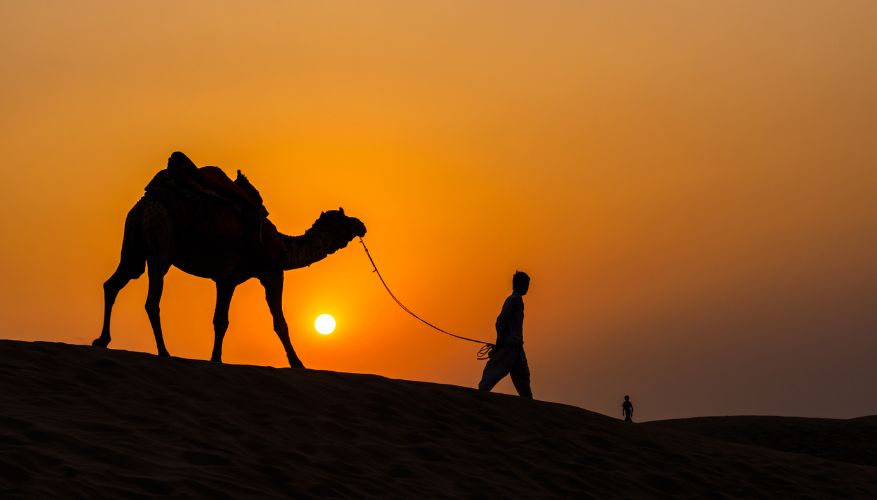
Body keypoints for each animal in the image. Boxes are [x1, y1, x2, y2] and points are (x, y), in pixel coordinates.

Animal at [94, 152, 368, 368]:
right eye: (344, 220)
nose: (361, 225)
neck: (283, 247)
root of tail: (147, 202)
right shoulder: (269, 273)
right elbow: (278, 322)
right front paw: (297, 363)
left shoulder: (226, 279)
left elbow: (220, 320)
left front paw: (216, 358)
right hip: (161, 246)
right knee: (152, 300)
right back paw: (163, 351)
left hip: (133, 244)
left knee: (114, 283)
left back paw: (102, 340)